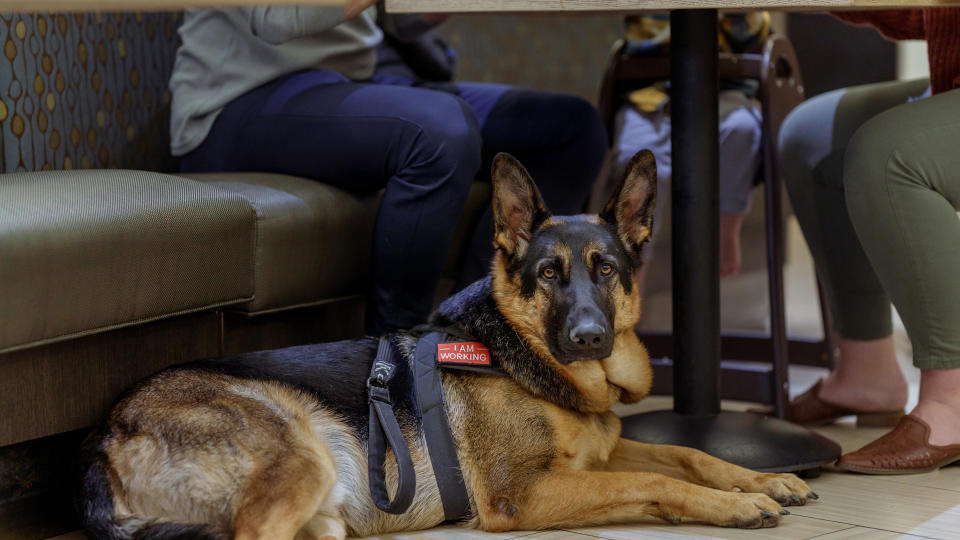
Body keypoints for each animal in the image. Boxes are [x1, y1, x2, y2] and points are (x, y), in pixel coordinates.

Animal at [80, 151, 816, 540]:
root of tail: (108, 434)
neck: (525, 358)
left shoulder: (601, 451)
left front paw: (763, 478)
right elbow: (655, 479)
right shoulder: (525, 493)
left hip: (325, 513)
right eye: (549, 275)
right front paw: (736, 504)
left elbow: (688, 454)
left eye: (605, 269)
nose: (588, 338)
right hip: (298, 455)